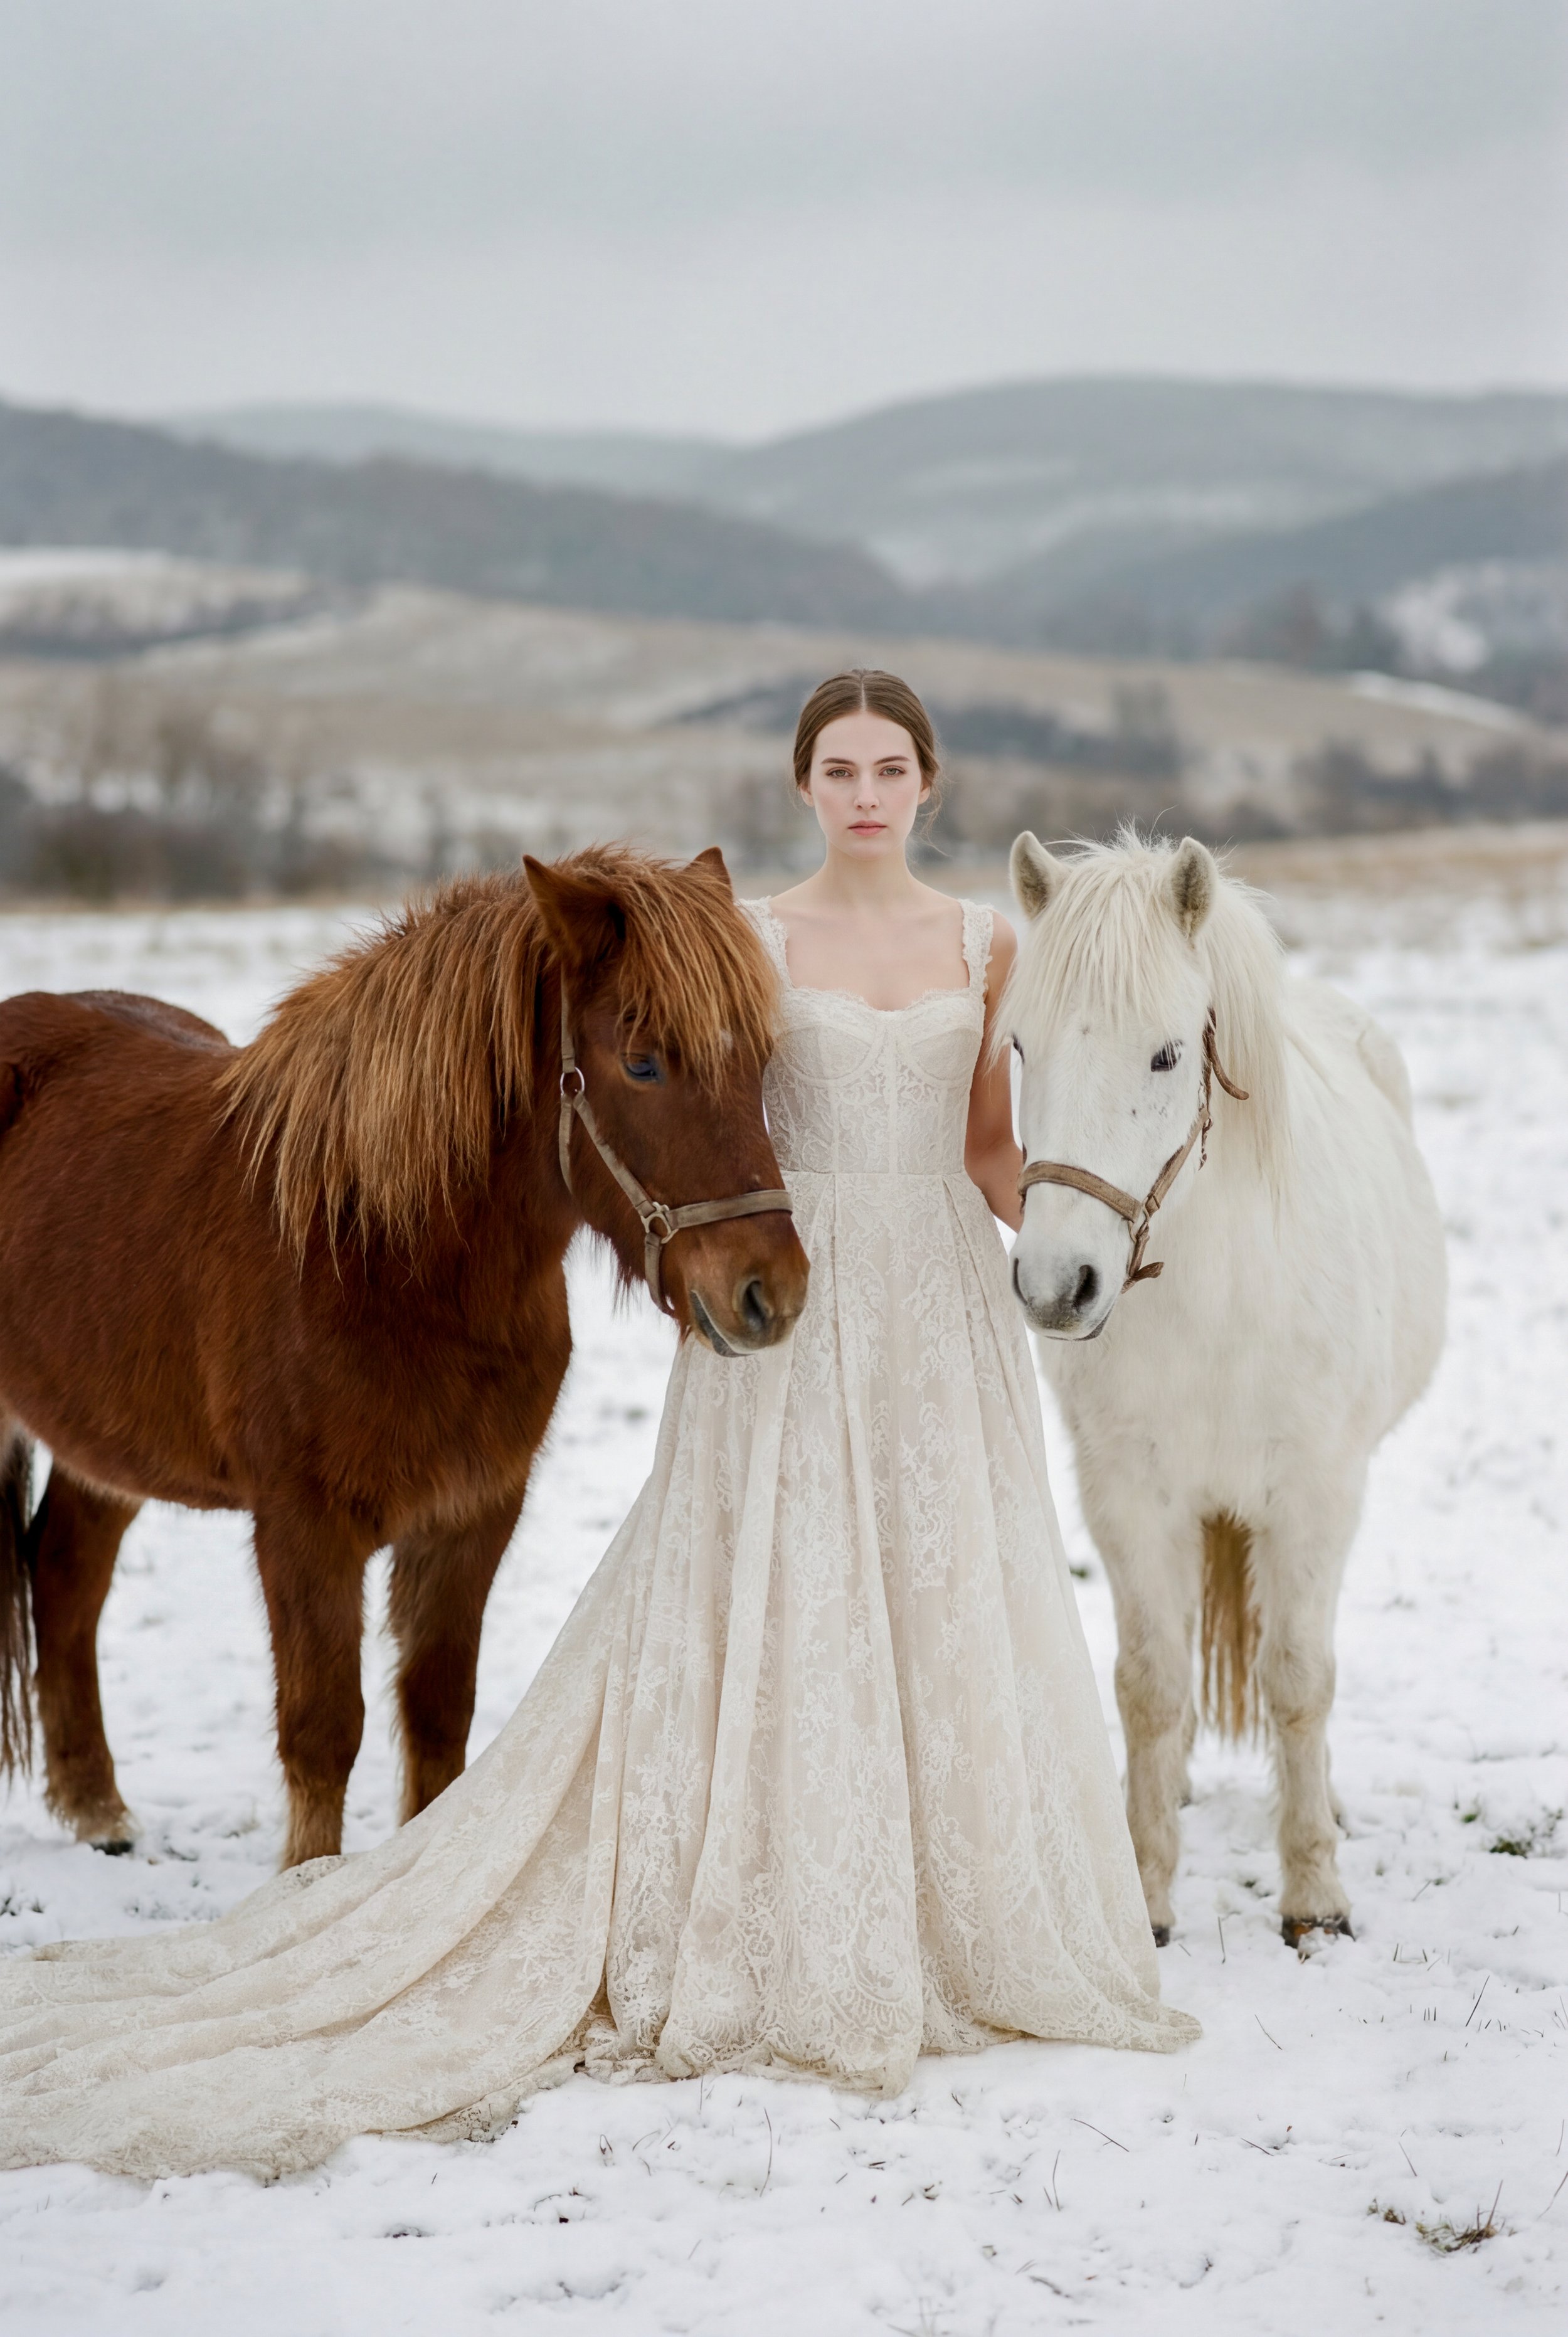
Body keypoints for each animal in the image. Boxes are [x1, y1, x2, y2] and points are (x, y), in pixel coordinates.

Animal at [0, 844, 808, 1869]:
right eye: (642, 1062)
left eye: (761, 1060)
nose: (769, 1291)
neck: (377, 1255)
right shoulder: (304, 1529)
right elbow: (323, 1729)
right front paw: (307, 1891)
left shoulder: (471, 1516)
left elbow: (436, 1716)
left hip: (107, 1442)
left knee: (66, 1575)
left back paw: (97, 1809)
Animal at [1003, 830, 1445, 1946]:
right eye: (1020, 1046)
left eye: (1167, 1054)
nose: (1056, 1285)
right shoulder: (1129, 1497)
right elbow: (1152, 1688)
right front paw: (1149, 1895)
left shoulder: (1317, 1496)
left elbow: (1298, 1681)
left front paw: (1315, 1896)